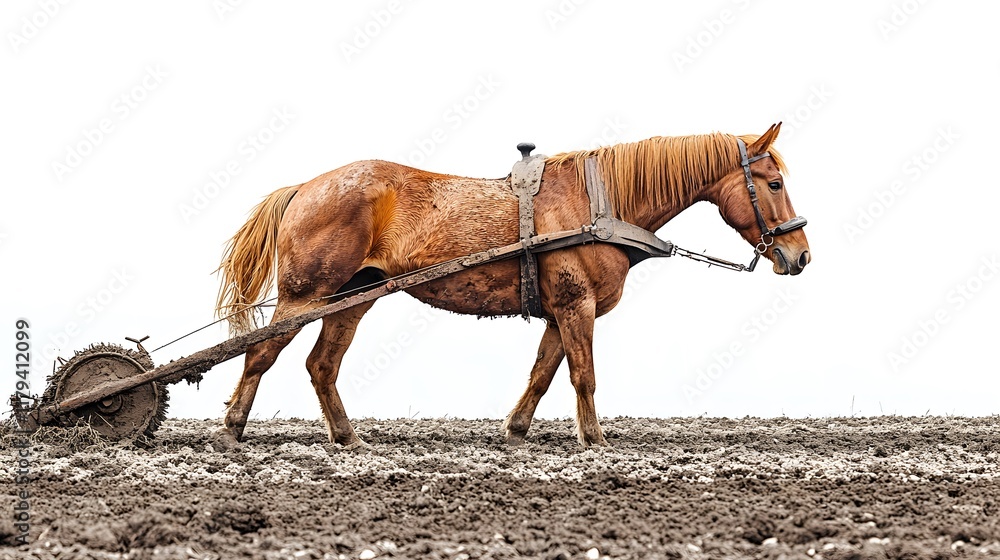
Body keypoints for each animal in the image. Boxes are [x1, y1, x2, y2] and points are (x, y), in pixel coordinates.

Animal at [212, 123, 810, 449]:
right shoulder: (576, 305)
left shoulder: (560, 311)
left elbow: (543, 373)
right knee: (260, 354)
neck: (595, 204)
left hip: (351, 298)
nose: (800, 255)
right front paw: (595, 440)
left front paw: (517, 430)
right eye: (774, 183)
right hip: (305, 294)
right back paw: (232, 429)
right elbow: (584, 376)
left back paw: (347, 438)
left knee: (322, 365)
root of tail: (305, 187)